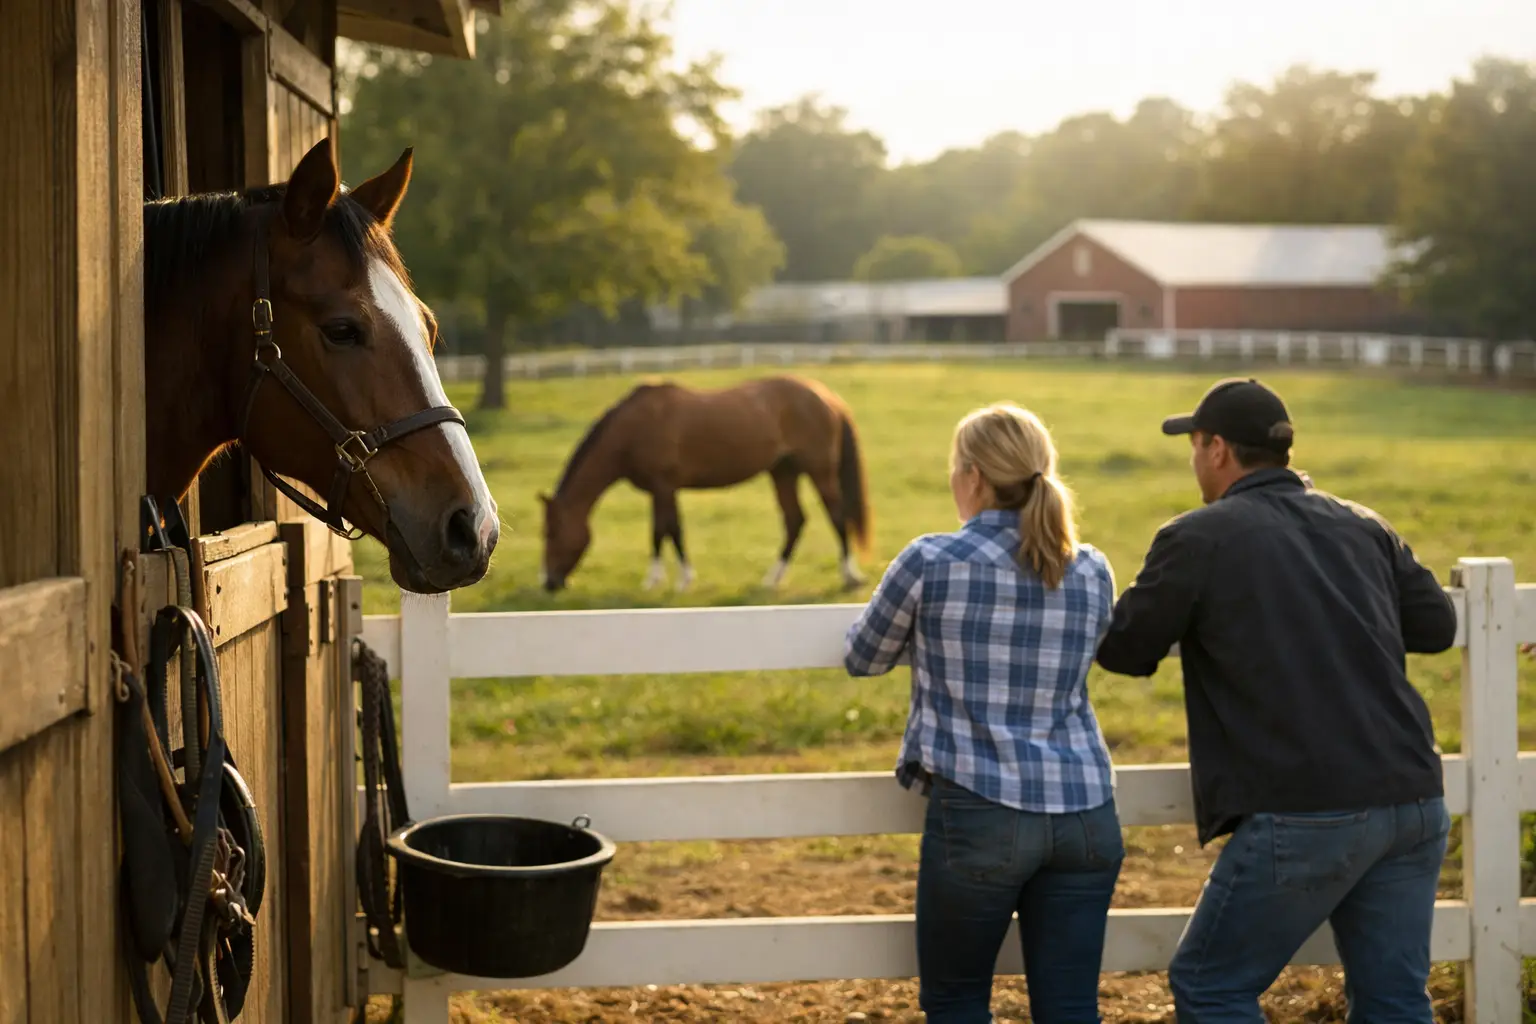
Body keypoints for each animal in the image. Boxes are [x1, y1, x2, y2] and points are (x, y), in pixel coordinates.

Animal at [538, 375, 872, 593]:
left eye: (552, 533)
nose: (549, 583)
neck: (633, 429)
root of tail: (826, 396)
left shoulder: (663, 487)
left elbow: (664, 531)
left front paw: (663, 580)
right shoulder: (662, 491)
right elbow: (669, 531)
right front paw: (673, 578)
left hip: (819, 471)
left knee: (837, 516)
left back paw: (850, 576)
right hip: (783, 472)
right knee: (795, 521)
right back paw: (772, 579)